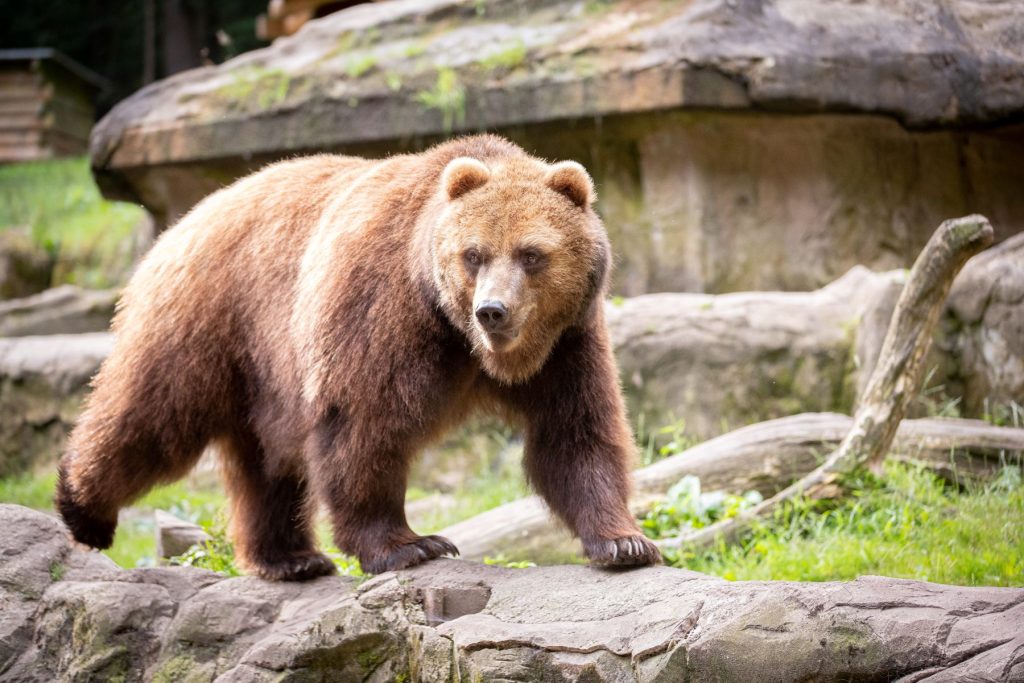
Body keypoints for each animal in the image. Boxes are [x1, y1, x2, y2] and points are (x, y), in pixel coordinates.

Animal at [56, 133, 663, 577]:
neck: (457, 335)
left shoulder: (568, 343)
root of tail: (186, 217)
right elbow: (365, 424)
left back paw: (292, 558)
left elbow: (575, 432)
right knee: (153, 417)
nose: (493, 310)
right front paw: (410, 545)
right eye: (473, 254)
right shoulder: (378, 312)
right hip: (211, 321)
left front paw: (624, 542)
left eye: (532, 254)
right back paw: (83, 509)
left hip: (262, 373)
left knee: (265, 462)